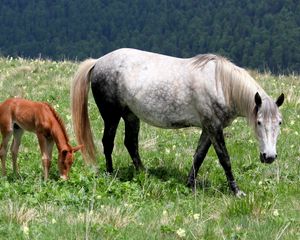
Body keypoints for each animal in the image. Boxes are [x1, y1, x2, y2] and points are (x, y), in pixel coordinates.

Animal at [70, 47, 284, 196]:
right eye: (258, 122)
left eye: (279, 123)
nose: (269, 156)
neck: (221, 84)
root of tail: (98, 62)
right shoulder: (214, 127)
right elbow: (225, 159)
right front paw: (236, 191)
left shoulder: (208, 128)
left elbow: (199, 156)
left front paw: (190, 185)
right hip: (111, 116)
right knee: (108, 143)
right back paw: (111, 173)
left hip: (131, 115)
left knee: (130, 143)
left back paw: (144, 174)